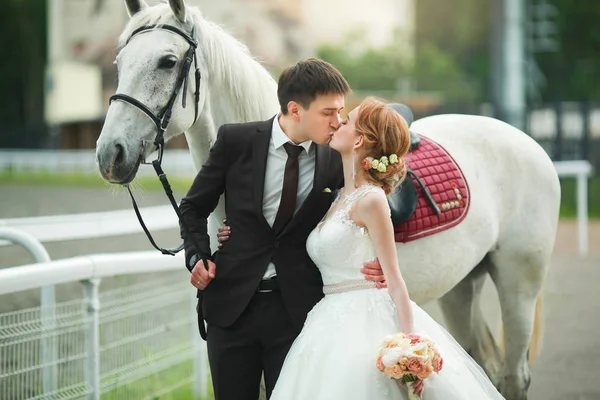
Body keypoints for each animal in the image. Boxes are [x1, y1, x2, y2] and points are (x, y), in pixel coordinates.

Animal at [96, 1, 560, 398]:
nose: (109, 154)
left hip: (518, 282)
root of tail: (525, 141)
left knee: (514, 376)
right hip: (462, 286)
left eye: (167, 61)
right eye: (119, 63)